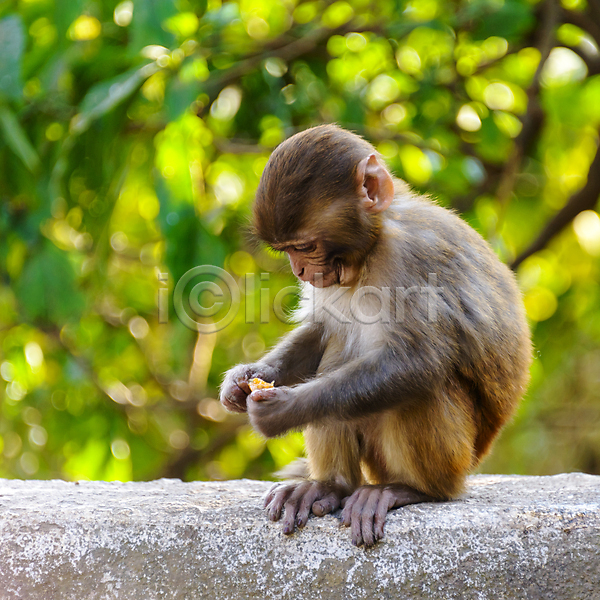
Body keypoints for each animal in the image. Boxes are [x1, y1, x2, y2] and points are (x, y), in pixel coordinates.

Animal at [219, 124, 528, 548]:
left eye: (305, 246)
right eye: (286, 251)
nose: (299, 269)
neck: (373, 247)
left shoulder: (411, 257)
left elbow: (419, 362)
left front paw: (286, 409)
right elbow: (321, 330)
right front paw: (243, 380)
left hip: (456, 459)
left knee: (423, 387)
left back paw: (411, 490)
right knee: (337, 353)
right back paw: (330, 486)